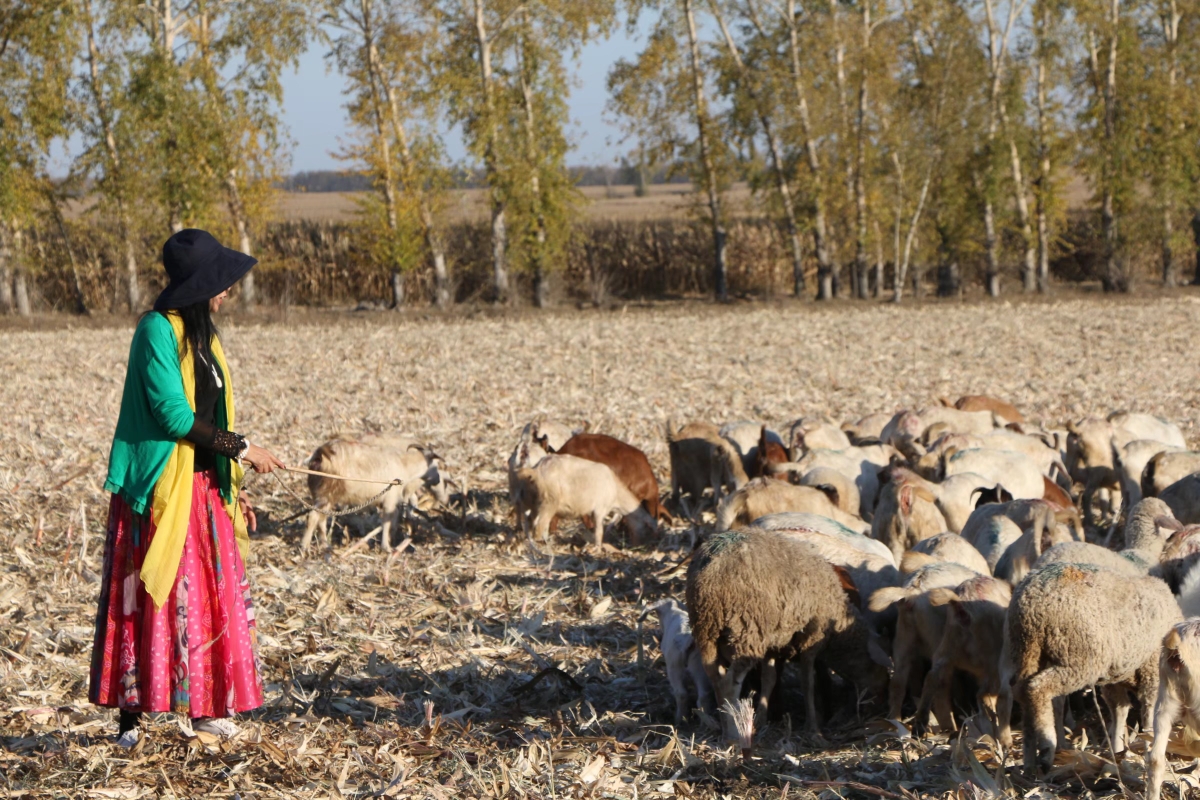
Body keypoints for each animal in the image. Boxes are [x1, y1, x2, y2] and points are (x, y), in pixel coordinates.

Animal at [300, 434, 451, 554]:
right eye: (436, 466)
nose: (437, 479)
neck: (405, 466)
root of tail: (320, 454)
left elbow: (393, 521)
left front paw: (392, 540)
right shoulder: (390, 499)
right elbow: (386, 522)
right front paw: (387, 547)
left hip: (322, 495)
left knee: (321, 519)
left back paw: (325, 546)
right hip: (327, 494)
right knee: (313, 516)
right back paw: (305, 547)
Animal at [508, 453, 652, 546]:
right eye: (646, 526)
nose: (639, 546)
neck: (617, 492)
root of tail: (537, 470)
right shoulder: (600, 509)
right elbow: (599, 532)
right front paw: (597, 549)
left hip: (531, 500)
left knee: (528, 520)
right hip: (549, 501)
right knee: (539, 525)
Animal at [998, 563, 1176, 777]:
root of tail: (1032, 600)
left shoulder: (1114, 677)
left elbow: (1120, 710)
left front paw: (1116, 750)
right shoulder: (1152, 671)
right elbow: (1149, 713)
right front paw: (1146, 744)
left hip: (1026, 650)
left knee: (1022, 692)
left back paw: (1029, 761)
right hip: (1078, 656)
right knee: (1037, 688)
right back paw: (1047, 748)